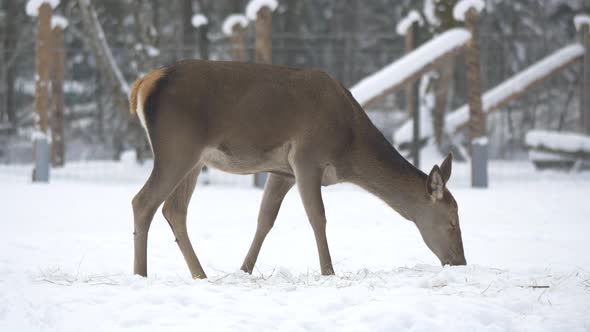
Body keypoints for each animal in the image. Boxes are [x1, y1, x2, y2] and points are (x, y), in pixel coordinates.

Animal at [130, 59, 468, 278]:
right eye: (452, 222)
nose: (461, 262)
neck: (349, 147)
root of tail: (143, 84)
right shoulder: (307, 156)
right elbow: (318, 217)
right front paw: (328, 272)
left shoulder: (283, 172)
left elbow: (265, 219)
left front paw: (244, 270)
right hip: (177, 148)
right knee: (143, 201)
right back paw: (141, 274)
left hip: (195, 159)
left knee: (174, 210)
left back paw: (200, 275)